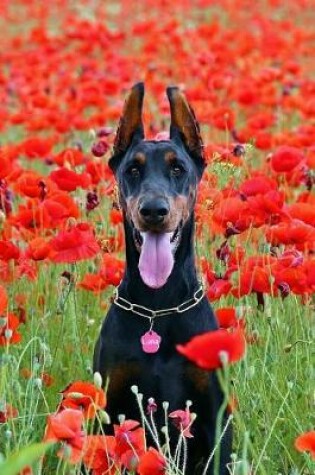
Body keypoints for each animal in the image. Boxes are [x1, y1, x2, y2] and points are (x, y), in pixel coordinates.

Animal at [94, 83, 232, 474]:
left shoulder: (214, 418)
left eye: (178, 168)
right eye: (133, 170)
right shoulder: (109, 411)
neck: (159, 307)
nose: (154, 210)